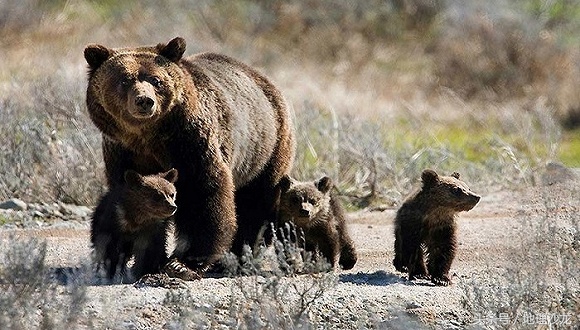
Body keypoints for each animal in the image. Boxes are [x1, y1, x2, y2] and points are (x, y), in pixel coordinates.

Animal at [82, 36, 294, 278]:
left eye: (156, 80)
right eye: (125, 80)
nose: (144, 101)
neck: (148, 138)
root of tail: (264, 79)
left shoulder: (190, 144)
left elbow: (202, 194)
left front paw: (183, 262)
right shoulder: (122, 153)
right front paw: (119, 257)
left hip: (265, 150)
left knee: (256, 202)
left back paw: (238, 257)